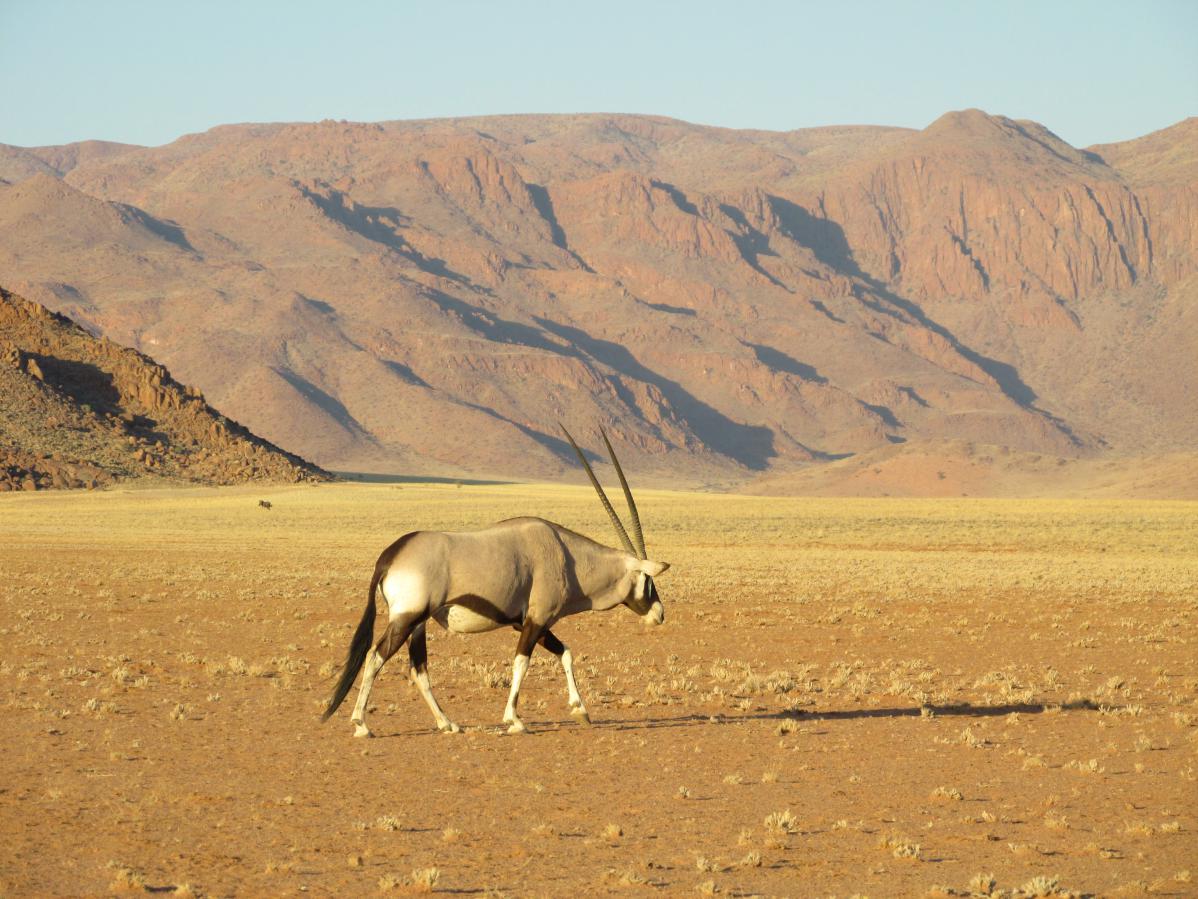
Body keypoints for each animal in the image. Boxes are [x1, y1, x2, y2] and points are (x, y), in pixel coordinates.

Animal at [323, 426, 670, 733]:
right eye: (648, 581)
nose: (660, 614)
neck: (567, 555)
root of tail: (391, 555)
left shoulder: (528, 622)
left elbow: (566, 653)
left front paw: (580, 711)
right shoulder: (536, 620)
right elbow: (521, 663)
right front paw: (514, 720)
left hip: (417, 623)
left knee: (418, 668)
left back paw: (447, 723)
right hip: (406, 618)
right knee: (376, 656)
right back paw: (361, 724)